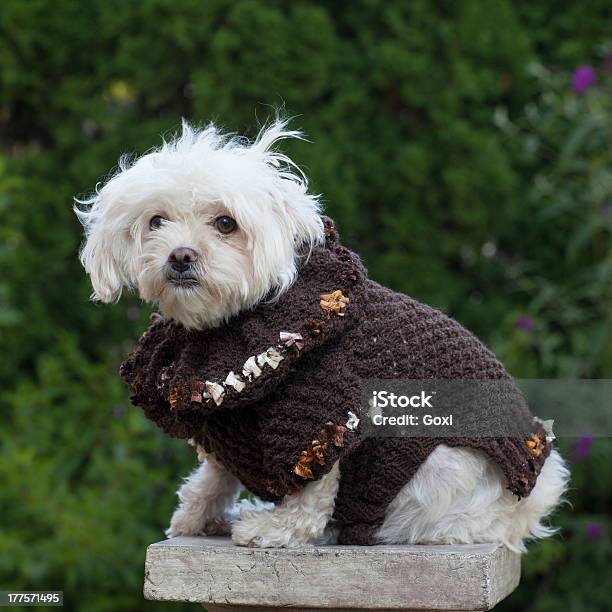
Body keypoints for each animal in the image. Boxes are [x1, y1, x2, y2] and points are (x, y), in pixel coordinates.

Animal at [76, 118, 568, 548]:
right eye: (156, 221)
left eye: (225, 223)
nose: (180, 256)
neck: (234, 323)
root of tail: (525, 505)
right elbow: (216, 475)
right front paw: (197, 516)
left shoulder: (322, 411)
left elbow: (309, 487)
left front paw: (276, 531)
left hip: (432, 466)